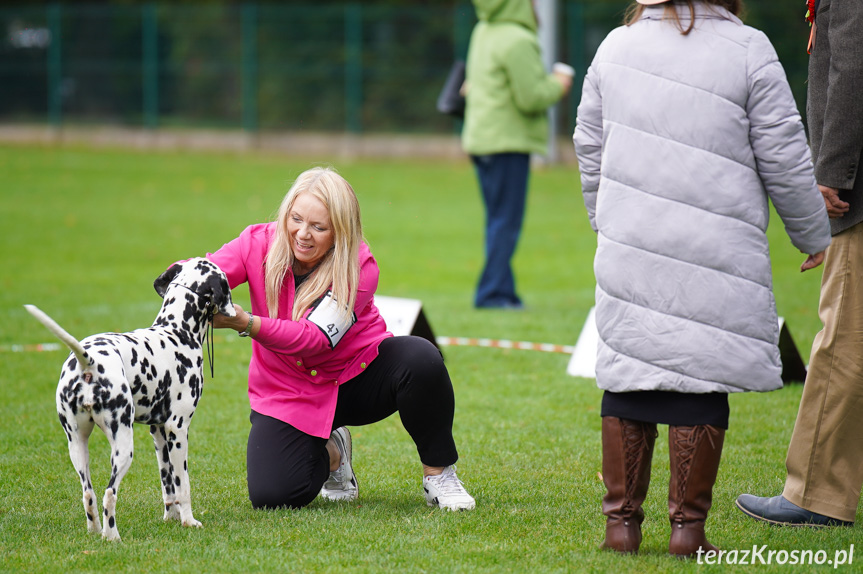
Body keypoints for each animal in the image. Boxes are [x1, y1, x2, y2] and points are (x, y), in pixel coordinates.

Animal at [27, 258, 236, 544]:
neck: (176, 332)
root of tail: (89, 361)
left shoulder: (159, 432)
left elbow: (167, 484)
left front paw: (171, 518)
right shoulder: (178, 429)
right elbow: (182, 484)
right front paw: (188, 521)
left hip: (77, 446)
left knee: (89, 494)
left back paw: (96, 532)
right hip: (123, 445)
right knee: (109, 493)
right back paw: (112, 536)